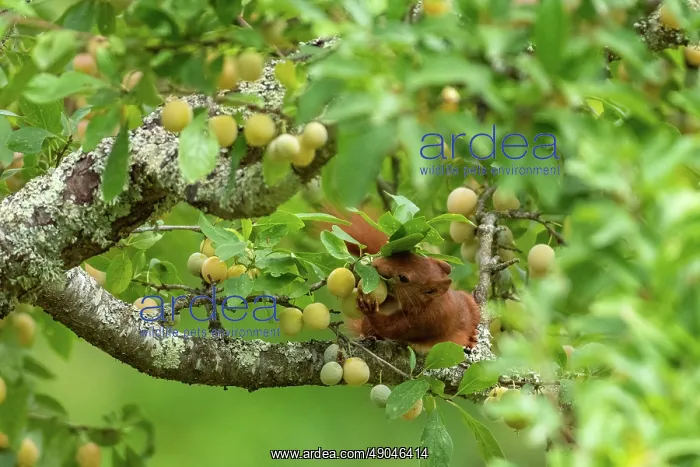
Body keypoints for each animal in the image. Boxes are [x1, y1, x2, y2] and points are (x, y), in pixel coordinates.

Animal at [318, 204, 481, 354]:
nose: (375, 264)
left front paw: (369, 309)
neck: (431, 302)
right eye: (396, 254)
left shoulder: (427, 321)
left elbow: (392, 329)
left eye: (403, 278)